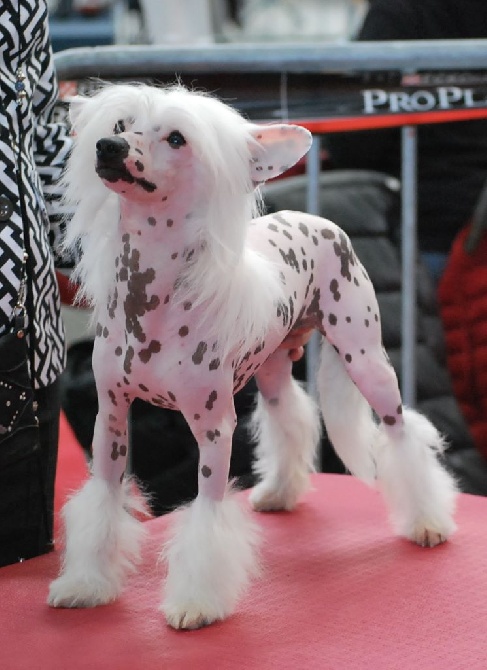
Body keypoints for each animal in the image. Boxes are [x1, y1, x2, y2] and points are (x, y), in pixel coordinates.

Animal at [47, 82, 460, 632]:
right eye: (119, 126)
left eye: (176, 138)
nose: (107, 148)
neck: (152, 297)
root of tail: (315, 216)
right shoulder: (111, 416)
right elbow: (103, 501)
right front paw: (86, 585)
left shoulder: (213, 428)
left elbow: (207, 514)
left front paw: (196, 602)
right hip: (273, 366)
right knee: (291, 420)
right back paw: (280, 492)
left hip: (366, 357)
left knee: (400, 433)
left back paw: (428, 521)